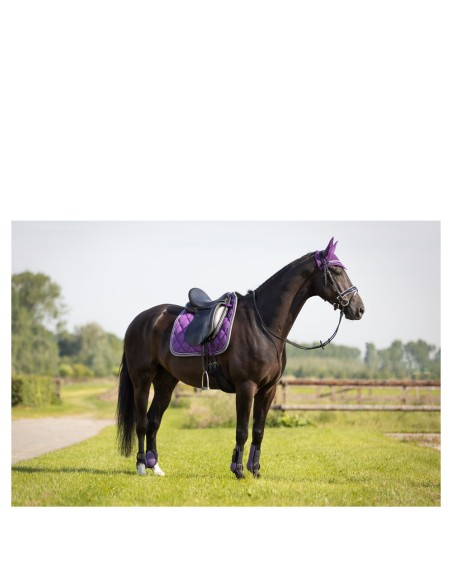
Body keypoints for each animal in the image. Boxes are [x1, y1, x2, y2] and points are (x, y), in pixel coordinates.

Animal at [116, 238, 365, 479]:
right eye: (336, 271)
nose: (359, 309)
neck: (263, 325)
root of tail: (139, 321)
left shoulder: (268, 389)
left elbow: (258, 431)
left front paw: (255, 470)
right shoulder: (246, 387)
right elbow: (242, 431)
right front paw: (238, 470)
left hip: (166, 381)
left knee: (153, 421)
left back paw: (155, 467)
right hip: (142, 380)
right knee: (141, 422)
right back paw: (141, 466)